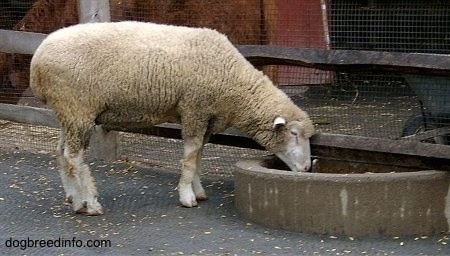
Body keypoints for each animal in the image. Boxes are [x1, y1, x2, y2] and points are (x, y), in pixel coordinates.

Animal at [29, 21, 314, 216]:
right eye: (293, 134)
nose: (307, 169)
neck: (233, 84)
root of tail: (37, 61)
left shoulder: (206, 117)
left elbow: (198, 156)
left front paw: (198, 191)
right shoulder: (194, 108)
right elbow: (189, 158)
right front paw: (187, 196)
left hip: (67, 113)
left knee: (61, 153)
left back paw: (73, 197)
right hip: (78, 108)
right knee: (74, 158)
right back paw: (89, 203)